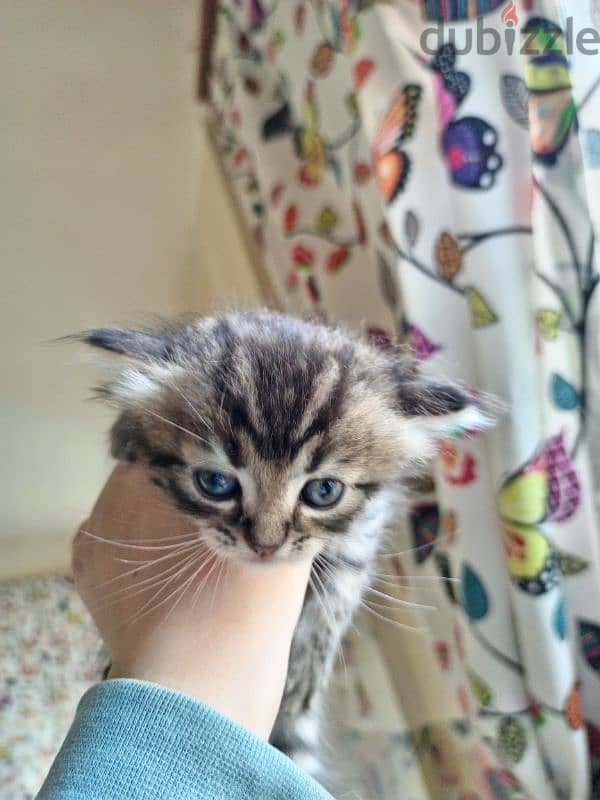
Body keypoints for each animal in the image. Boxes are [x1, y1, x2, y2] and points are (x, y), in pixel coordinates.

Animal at [77, 310, 490, 780]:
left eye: (323, 491)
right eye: (215, 483)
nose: (265, 545)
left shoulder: (361, 536)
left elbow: (332, 611)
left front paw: (301, 685)